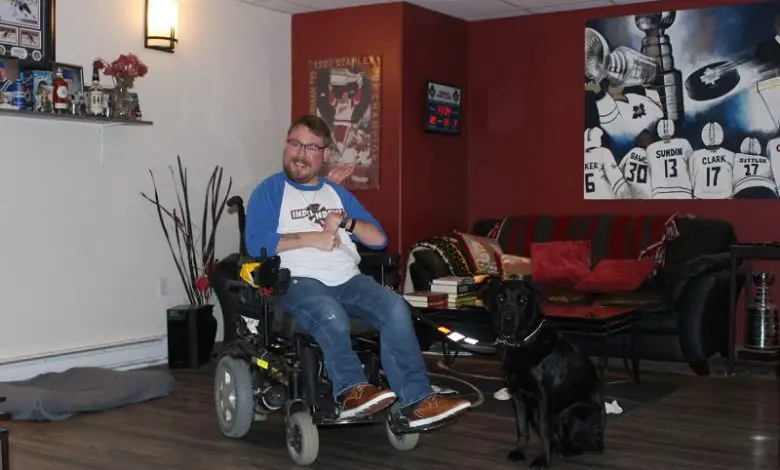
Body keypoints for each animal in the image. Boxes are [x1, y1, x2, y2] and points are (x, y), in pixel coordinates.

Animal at [478, 278, 608, 468]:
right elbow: (522, 428)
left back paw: (565, 451)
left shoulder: (545, 399)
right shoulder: (517, 397)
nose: (508, 319)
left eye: (523, 300)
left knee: (587, 446)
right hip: (535, 412)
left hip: (575, 413)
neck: (523, 344)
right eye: (501, 299)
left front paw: (542, 460)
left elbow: (545, 433)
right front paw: (519, 452)